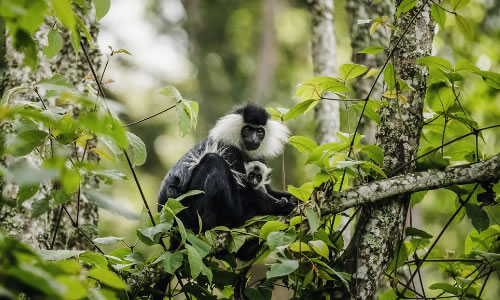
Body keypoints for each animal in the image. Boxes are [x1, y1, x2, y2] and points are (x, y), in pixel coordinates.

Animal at [158, 104, 294, 231]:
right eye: (247, 129)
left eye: (260, 131)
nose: (253, 139)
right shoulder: (230, 152)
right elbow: (244, 191)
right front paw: (282, 205)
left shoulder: (258, 158)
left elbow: (266, 189)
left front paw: (292, 198)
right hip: (188, 211)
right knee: (213, 160)